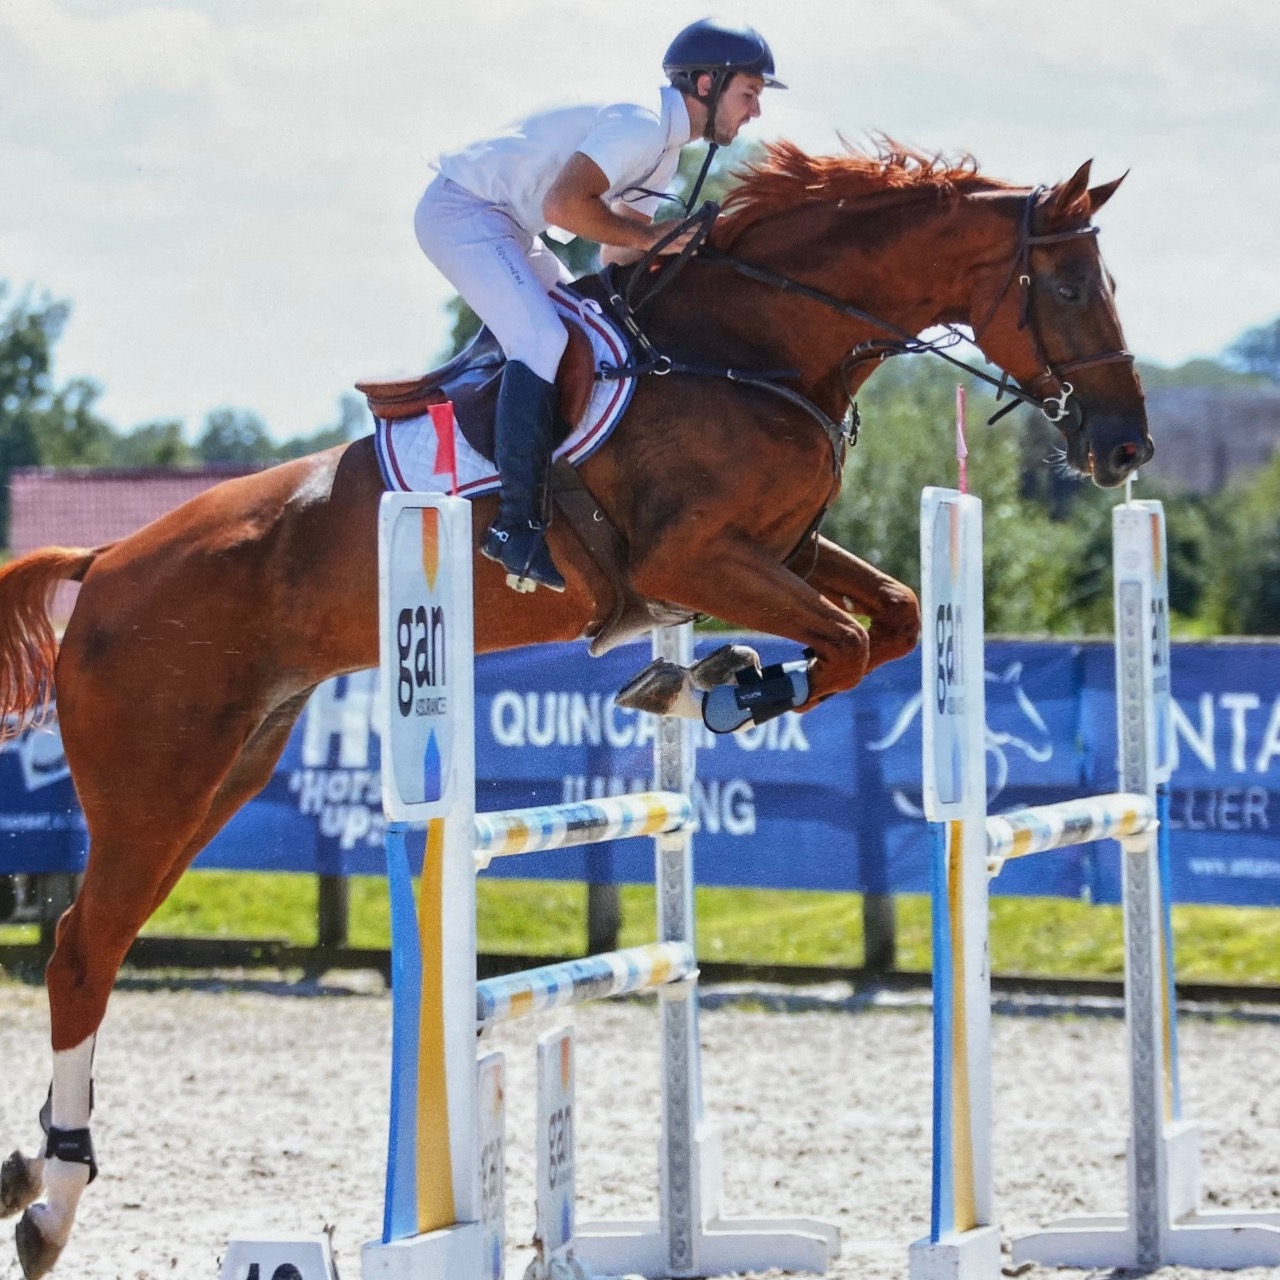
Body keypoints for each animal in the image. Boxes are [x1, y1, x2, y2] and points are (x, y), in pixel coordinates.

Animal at [0, 142, 1146, 1280]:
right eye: (1069, 287)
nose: (1125, 446)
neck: (753, 343)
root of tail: (105, 561)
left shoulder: (778, 548)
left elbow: (896, 619)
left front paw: (712, 676)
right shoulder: (691, 558)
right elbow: (853, 641)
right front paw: (721, 685)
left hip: (221, 774)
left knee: (100, 941)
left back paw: (33, 1174)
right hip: (156, 785)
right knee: (81, 951)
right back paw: (52, 1203)